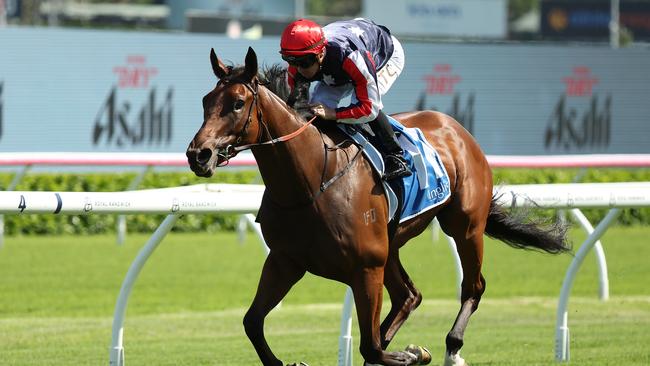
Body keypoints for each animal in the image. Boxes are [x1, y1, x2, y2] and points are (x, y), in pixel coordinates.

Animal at [185, 47, 564, 364]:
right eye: (205, 100)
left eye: (237, 103)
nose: (198, 154)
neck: (311, 181)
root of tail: (456, 128)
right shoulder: (285, 261)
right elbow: (252, 322)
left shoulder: (365, 268)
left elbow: (372, 347)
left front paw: (413, 354)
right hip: (391, 244)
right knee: (409, 296)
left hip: (465, 226)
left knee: (472, 286)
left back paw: (452, 346)